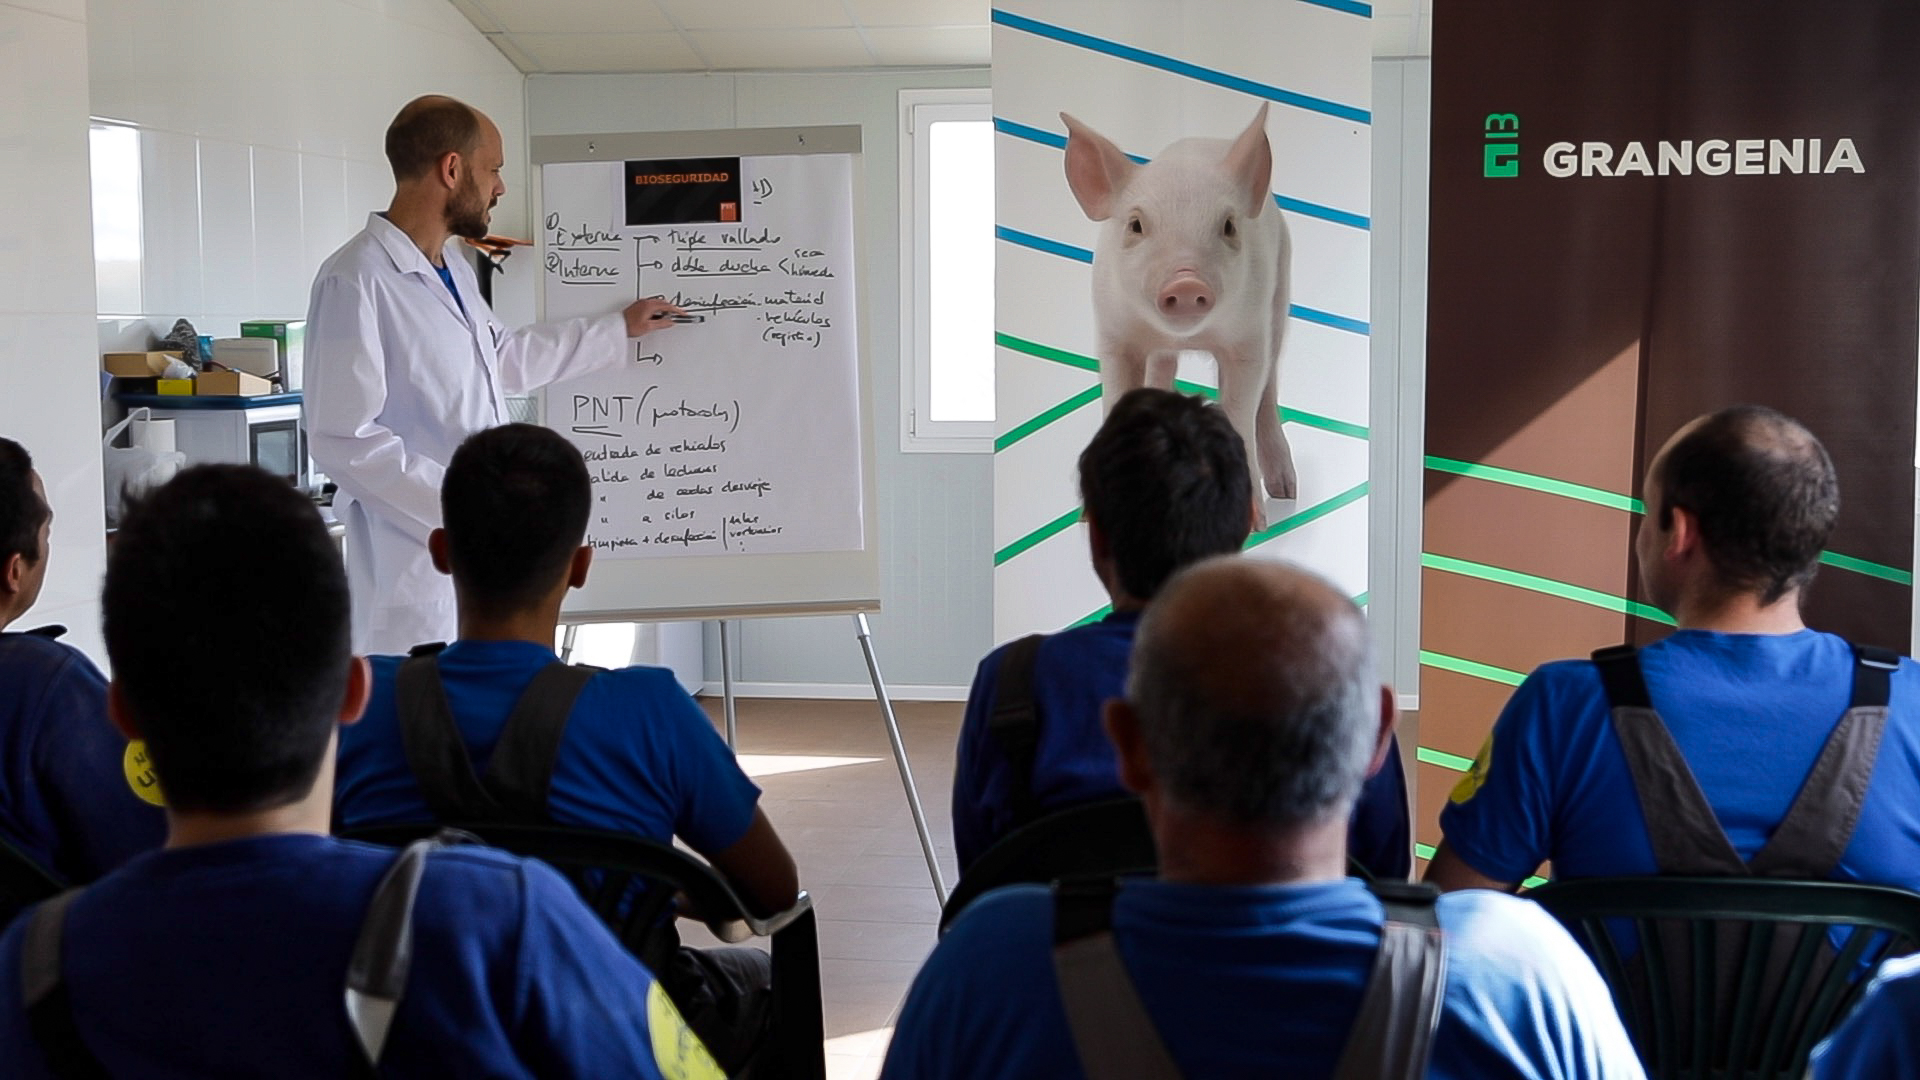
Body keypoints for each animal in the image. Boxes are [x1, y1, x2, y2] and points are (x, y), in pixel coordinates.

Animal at [1059, 104, 1297, 518]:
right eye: (1136, 225)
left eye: (1229, 225)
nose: (1186, 283)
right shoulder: (1113, 334)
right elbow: (1116, 393)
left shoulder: (1248, 338)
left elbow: (1240, 406)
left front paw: (1256, 523)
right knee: (1162, 367)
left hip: (1280, 293)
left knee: (1267, 389)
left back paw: (1286, 492)